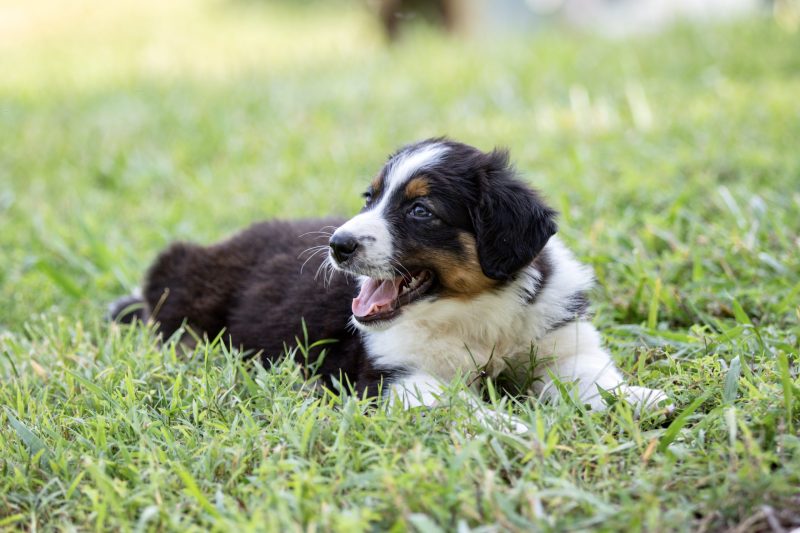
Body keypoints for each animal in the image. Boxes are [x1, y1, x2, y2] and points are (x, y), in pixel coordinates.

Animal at [110, 138, 669, 423]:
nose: (338, 245)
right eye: (370, 197)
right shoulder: (389, 374)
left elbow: (595, 380)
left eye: (421, 211)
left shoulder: (562, 342)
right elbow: (455, 404)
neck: (473, 312)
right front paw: (508, 428)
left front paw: (644, 400)